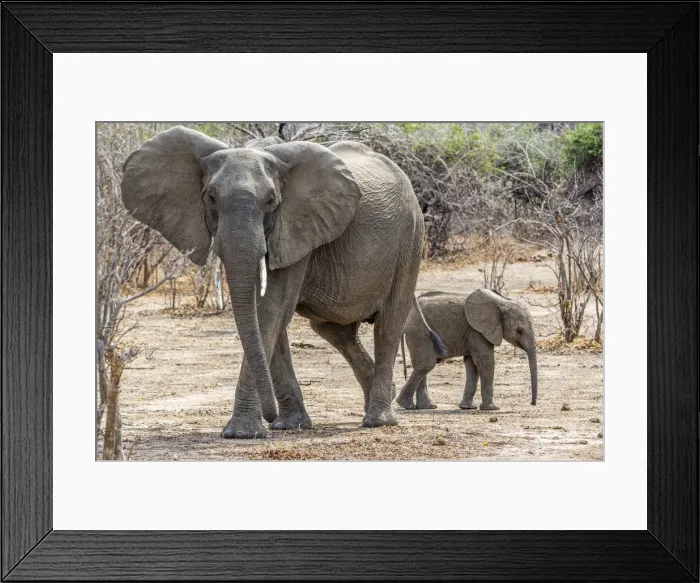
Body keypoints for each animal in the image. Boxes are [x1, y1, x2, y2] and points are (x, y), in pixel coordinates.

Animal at [120, 126, 426, 438]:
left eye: (270, 201)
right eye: (211, 198)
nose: (270, 416)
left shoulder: (294, 224)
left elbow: (270, 309)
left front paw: (241, 433)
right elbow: (267, 316)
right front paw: (289, 425)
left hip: (411, 238)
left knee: (388, 324)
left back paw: (379, 419)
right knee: (335, 331)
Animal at [395, 289, 538, 411]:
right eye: (519, 331)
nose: (532, 404)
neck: (502, 302)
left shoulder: (473, 332)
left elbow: (472, 365)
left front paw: (467, 407)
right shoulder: (476, 331)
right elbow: (486, 362)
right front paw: (492, 409)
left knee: (424, 366)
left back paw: (427, 407)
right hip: (419, 332)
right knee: (426, 364)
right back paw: (406, 405)